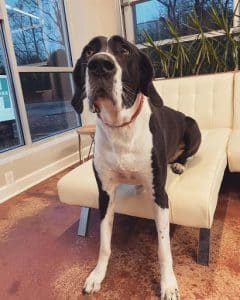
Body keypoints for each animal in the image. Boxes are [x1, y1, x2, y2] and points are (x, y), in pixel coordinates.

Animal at [71, 35, 201, 300]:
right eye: (89, 51)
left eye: (124, 50)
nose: (99, 65)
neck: (120, 128)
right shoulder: (105, 194)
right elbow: (104, 243)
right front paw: (97, 275)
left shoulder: (160, 194)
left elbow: (163, 247)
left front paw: (168, 284)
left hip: (193, 127)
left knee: (187, 154)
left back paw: (179, 164)